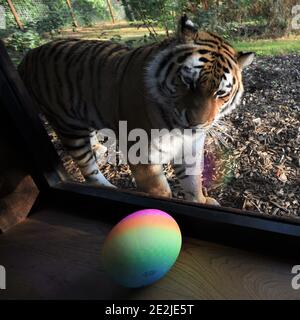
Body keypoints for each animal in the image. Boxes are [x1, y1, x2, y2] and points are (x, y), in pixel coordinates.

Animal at [18, 15, 253, 205]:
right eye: (188, 82)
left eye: (220, 93)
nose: (196, 123)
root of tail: (28, 55)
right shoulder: (142, 155)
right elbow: (161, 192)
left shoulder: (191, 147)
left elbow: (193, 182)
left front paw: (202, 201)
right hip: (67, 127)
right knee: (88, 169)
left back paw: (99, 148)